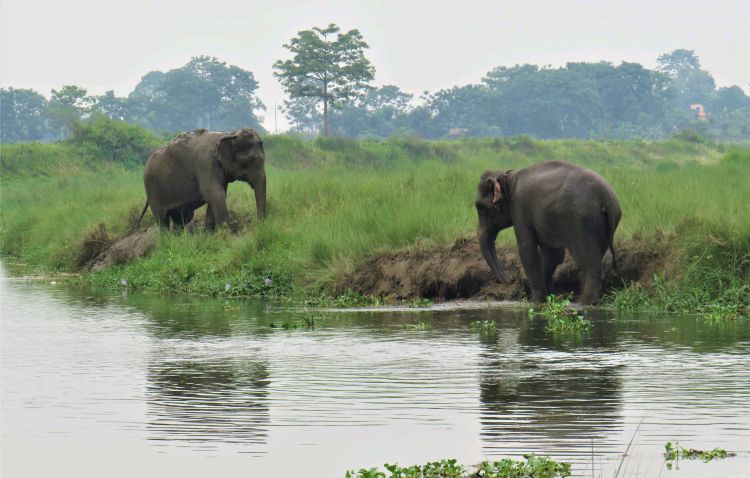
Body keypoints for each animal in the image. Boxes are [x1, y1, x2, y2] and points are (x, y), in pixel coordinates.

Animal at [135, 129, 268, 230]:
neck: (229, 134)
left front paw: (209, 235)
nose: (258, 225)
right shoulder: (206, 164)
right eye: (249, 161)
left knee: (180, 219)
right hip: (151, 188)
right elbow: (214, 195)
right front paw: (225, 234)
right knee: (162, 220)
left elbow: (217, 196)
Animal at [482, 159, 624, 304]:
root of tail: (606, 200)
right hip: (605, 224)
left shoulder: (519, 207)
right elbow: (553, 255)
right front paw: (549, 298)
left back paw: (586, 303)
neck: (507, 177)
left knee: (588, 264)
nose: (510, 279)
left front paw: (536, 301)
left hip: (584, 221)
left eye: (480, 207)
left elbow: (527, 249)